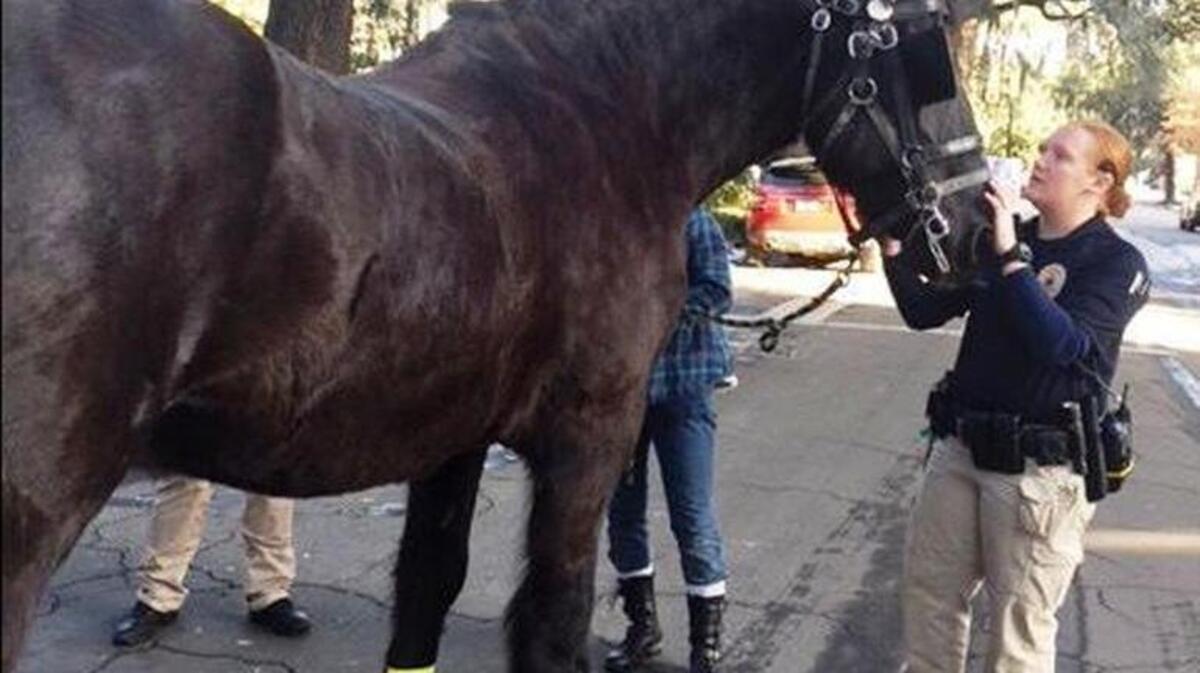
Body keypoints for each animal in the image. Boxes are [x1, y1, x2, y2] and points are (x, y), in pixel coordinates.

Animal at [1, 0, 991, 670]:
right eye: (926, 48)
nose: (982, 229)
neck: (605, 119)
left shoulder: (452, 436)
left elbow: (426, 593)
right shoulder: (587, 441)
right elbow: (551, 621)